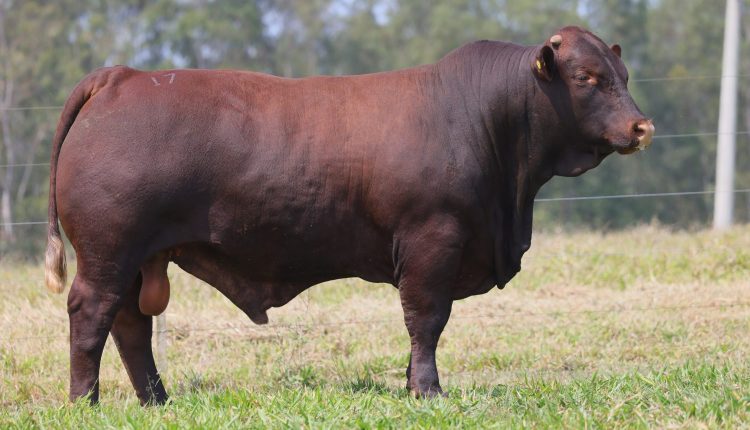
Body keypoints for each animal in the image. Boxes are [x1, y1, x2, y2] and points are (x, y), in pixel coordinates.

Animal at [45, 26, 656, 404]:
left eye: (624, 74)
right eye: (586, 78)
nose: (642, 127)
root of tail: (124, 76)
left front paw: (411, 386)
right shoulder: (433, 239)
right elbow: (427, 319)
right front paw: (428, 390)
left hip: (137, 257)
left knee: (131, 323)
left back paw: (156, 400)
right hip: (108, 250)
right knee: (92, 314)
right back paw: (84, 401)